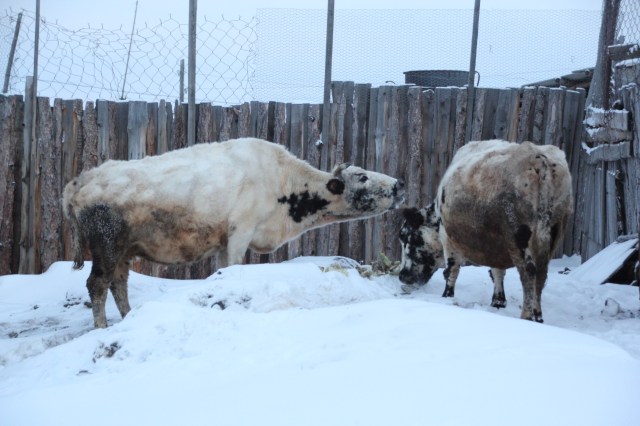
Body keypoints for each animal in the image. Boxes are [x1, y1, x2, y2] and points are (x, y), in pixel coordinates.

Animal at [63, 137, 405, 328]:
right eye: (362, 176)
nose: (399, 184)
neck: (280, 180)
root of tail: (80, 181)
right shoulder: (239, 235)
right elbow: (231, 270)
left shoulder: (225, 243)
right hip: (107, 247)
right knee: (98, 284)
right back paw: (102, 327)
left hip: (123, 251)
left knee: (118, 285)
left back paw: (128, 317)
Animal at [398, 139, 573, 323]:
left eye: (408, 237)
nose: (402, 275)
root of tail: (539, 158)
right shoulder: (496, 244)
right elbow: (497, 271)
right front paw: (498, 301)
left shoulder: (448, 238)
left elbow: (452, 269)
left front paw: (447, 296)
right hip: (553, 232)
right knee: (541, 273)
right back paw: (537, 315)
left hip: (518, 236)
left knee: (528, 271)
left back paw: (526, 315)